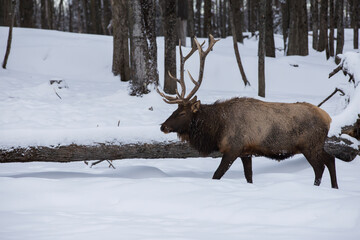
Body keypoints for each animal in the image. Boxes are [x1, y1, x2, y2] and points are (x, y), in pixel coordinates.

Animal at [158, 34, 348, 188]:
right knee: (330, 159)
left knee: (320, 167)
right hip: (316, 145)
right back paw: (335, 187)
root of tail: (328, 119)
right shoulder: (246, 152)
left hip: (310, 145)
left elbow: (216, 175)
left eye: (182, 113)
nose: (163, 126)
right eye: (175, 109)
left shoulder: (233, 148)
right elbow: (249, 177)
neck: (217, 128)